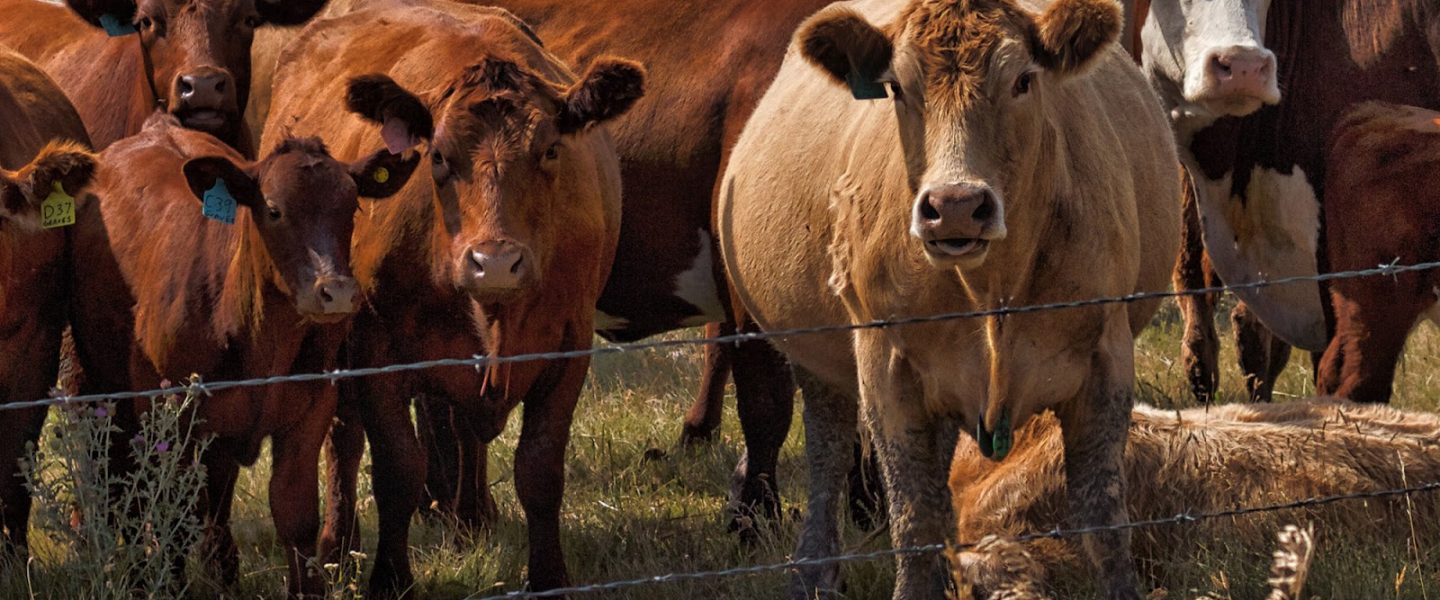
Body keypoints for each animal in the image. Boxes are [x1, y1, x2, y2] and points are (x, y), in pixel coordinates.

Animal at [65, 111, 419, 596]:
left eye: (351, 208)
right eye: (273, 209)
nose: (336, 291)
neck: (260, 341)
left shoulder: (311, 408)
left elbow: (295, 513)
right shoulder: (169, 411)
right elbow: (173, 513)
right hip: (89, 382)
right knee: (107, 473)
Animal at [260, 0, 643, 594]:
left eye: (551, 149)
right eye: (437, 156)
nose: (495, 262)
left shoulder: (569, 344)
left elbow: (539, 469)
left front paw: (548, 576)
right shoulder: (377, 349)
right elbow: (397, 468)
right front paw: (390, 578)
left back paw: (470, 516)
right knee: (344, 436)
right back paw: (338, 546)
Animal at [717, 0, 1180, 597]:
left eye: (1024, 79)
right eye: (896, 88)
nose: (955, 205)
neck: (992, 288)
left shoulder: (1107, 354)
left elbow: (1103, 518)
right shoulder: (886, 365)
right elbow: (913, 518)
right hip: (817, 359)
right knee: (829, 449)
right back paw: (814, 572)